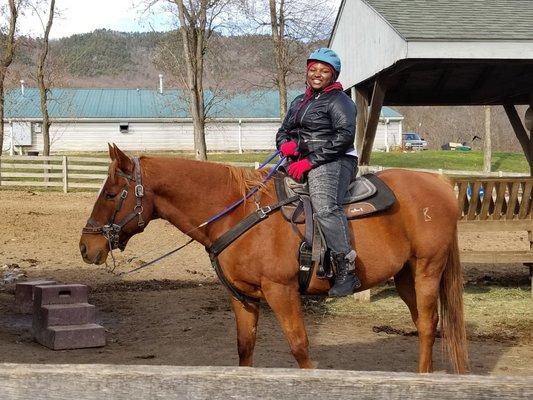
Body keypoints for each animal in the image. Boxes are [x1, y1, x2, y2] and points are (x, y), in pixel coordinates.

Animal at [79, 145, 466, 374]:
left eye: (111, 193)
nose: (86, 246)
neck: (238, 213)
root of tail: (441, 186)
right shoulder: (242, 297)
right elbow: (244, 349)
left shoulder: (281, 292)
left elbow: (300, 348)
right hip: (405, 276)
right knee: (424, 326)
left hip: (427, 270)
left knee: (428, 326)